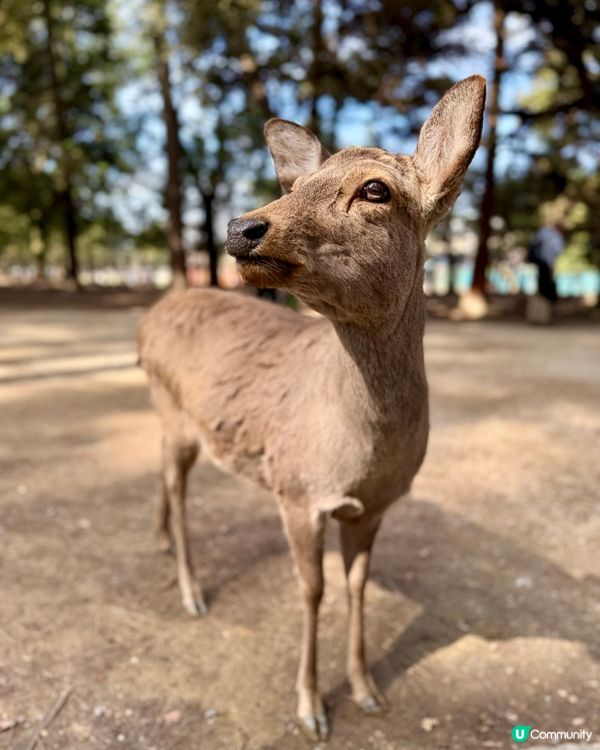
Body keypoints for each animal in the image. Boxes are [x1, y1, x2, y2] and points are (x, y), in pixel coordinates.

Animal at [138, 75, 486, 741]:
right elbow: (312, 591)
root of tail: (147, 322)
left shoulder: (373, 506)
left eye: (375, 188)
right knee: (174, 487)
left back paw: (163, 546)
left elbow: (357, 588)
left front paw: (368, 689)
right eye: (294, 187)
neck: (363, 452)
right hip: (171, 413)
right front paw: (311, 707)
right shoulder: (297, 489)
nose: (241, 227)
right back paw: (191, 592)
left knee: (164, 484)